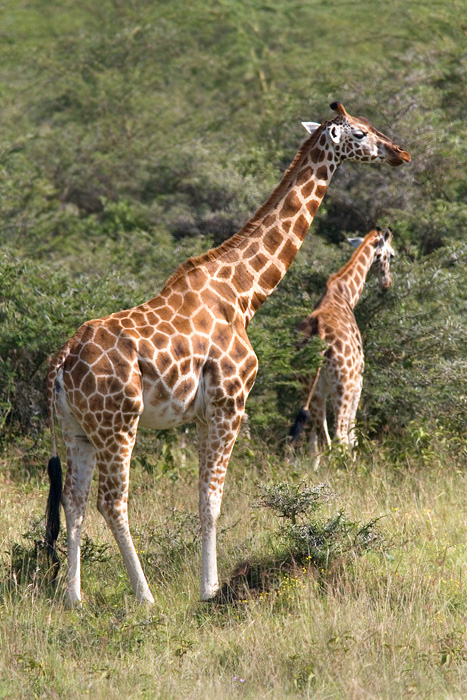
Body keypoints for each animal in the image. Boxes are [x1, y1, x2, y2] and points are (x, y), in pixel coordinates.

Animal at [288, 227, 395, 468]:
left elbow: (316, 439)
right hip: (342, 385)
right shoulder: (358, 380)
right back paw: (345, 470)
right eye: (392, 255)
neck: (344, 294)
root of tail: (319, 335)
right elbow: (351, 433)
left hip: (310, 387)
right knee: (338, 435)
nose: (387, 283)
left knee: (319, 434)